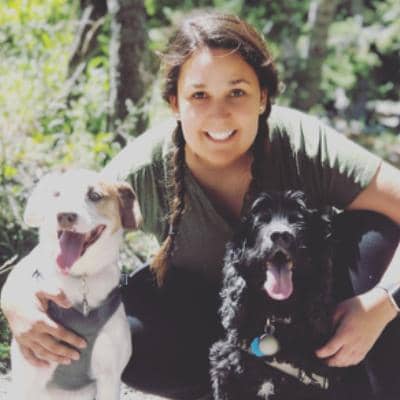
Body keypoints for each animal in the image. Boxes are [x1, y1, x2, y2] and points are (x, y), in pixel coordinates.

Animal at [1, 169, 141, 400]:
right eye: (56, 194)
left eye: (95, 195)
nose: (65, 215)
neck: (79, 277)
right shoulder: (30, 377)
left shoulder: (109, 377)